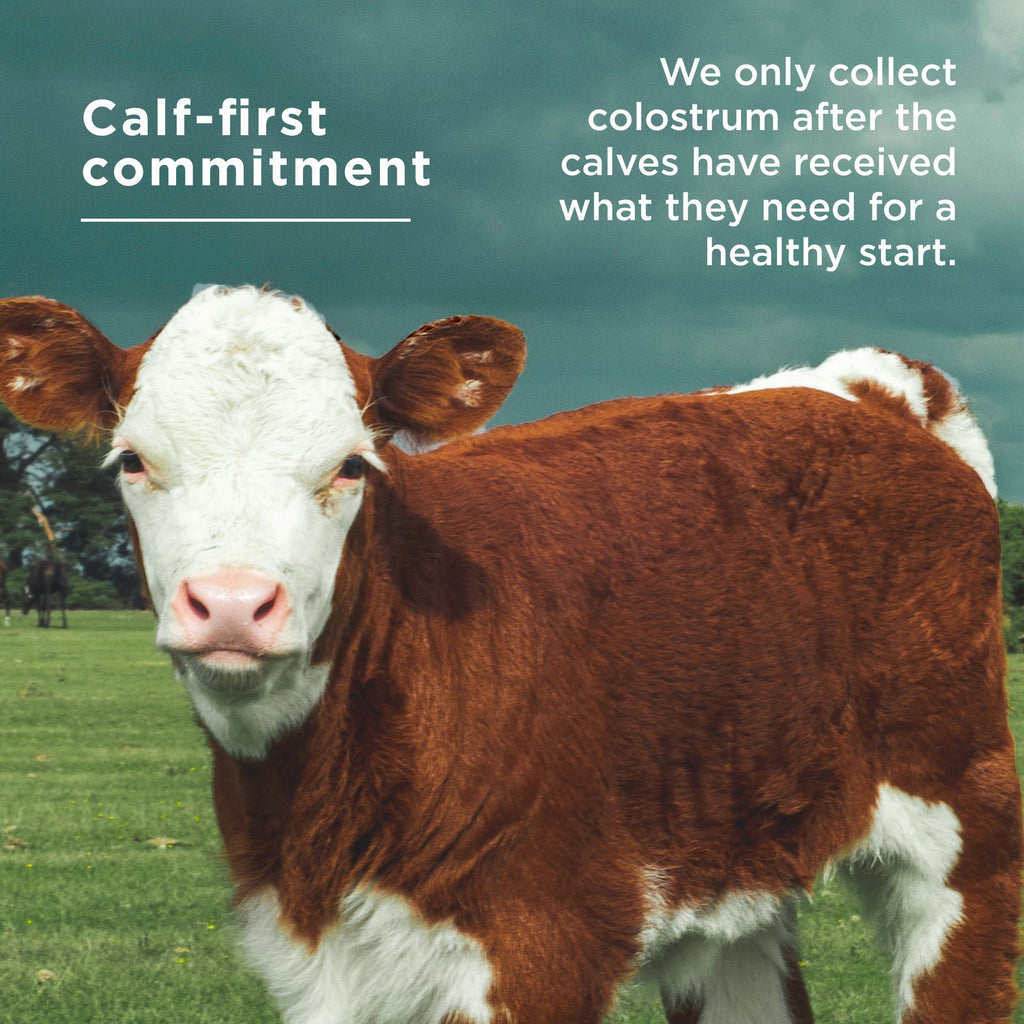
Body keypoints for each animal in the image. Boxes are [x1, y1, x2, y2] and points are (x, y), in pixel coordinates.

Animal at [0, 284, 1019, 1024]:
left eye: (351, 465)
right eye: (132, 460)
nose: (234, 604)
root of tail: (872, 389)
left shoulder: (545, 937)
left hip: (963, 823)